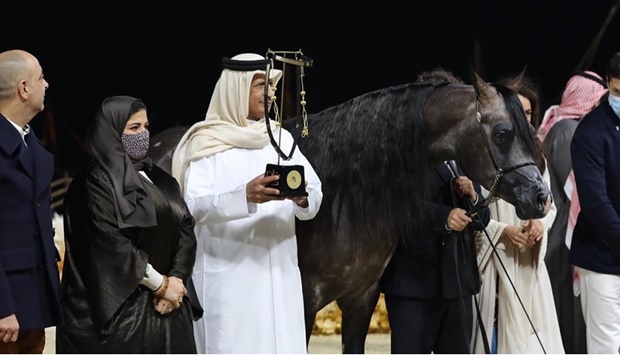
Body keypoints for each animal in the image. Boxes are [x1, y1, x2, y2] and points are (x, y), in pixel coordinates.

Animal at [148, 71, 548, 354]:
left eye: (530, 129)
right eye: (502, 133)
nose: (540, 197)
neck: (345, 193)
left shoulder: (362, 298)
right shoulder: (305, 302)